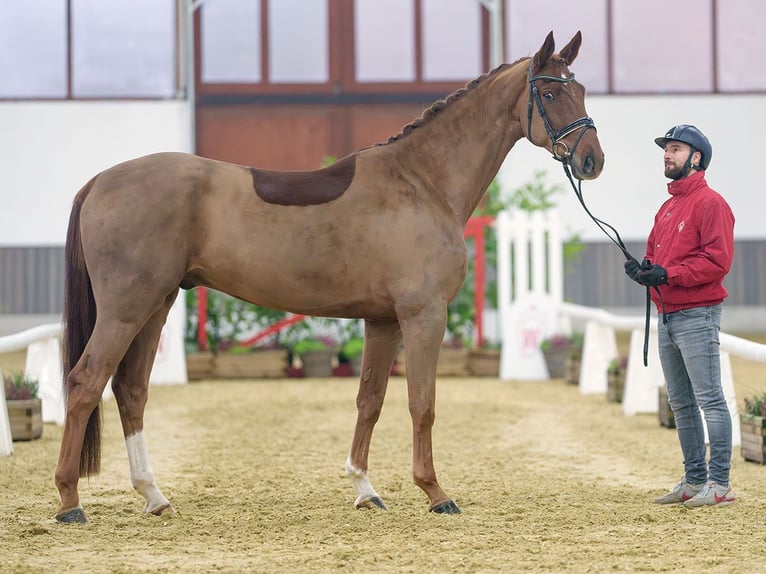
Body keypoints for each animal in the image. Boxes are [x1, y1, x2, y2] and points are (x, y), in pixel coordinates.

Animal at [54, 32, 608, 528]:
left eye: (580, 89)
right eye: (550, 93)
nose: (592, 160)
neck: (422, 183)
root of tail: (99, 181)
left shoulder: (383, 321)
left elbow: (370, 400)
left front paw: (365, 488)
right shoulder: (423, 316)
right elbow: (422, 403)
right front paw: (435, 493)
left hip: (157, 303)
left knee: (130, 390)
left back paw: (154, 497)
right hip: (127, 308)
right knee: (85, 383)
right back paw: (70, 502)